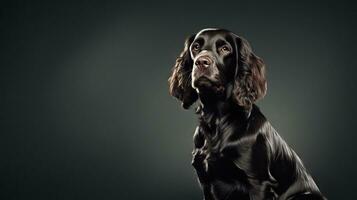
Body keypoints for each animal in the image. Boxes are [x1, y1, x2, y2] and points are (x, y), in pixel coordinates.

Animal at [167, 28, 326, 200]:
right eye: (195, 47)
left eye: (225, 49)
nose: (201, 62)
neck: (217, 120)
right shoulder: (206, 181)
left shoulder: (258, 183)